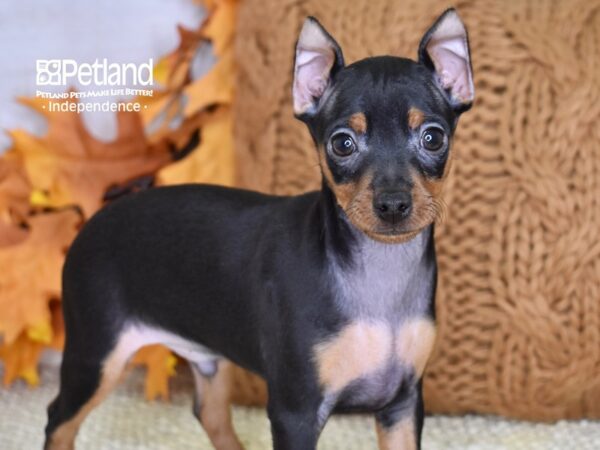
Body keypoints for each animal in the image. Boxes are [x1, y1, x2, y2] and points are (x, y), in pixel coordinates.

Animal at [44, 7, 474, 450]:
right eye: (342, 144)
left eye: (433, 137)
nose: (392, 204)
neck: (378, 275)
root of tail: (100, 214)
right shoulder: (295, 410)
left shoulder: (402, 404)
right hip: (96, 353)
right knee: (58, 419)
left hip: (206, 354)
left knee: (210, 412)